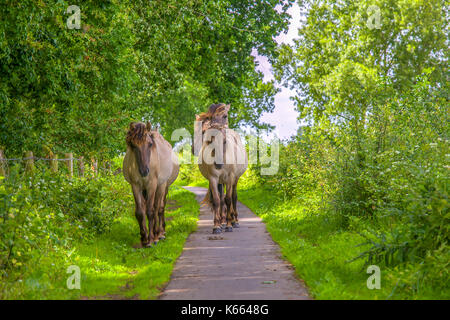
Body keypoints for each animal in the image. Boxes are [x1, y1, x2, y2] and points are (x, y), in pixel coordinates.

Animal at [195, 104, 248, 234]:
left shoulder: (230, 178)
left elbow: (228, 199)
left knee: (233, 197)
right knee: (221, 199)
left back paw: (235, 221)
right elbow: (217, 200)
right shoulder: (213, 178)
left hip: (235, 179)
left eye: (225, 116)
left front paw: (229, 225)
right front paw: (216, 226)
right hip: (220, 181)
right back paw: (222, 222)